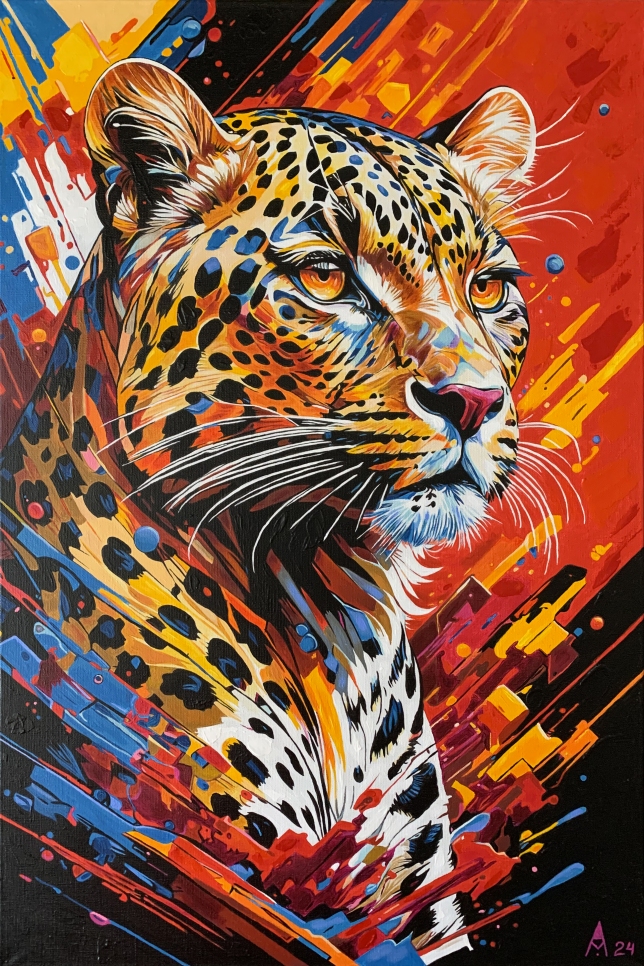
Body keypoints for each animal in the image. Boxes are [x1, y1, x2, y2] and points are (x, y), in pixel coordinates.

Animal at [0, 59, 535, 962]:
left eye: (489, 288)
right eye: (325, 276)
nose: (473, 400)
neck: (328, 597)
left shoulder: (412, 885)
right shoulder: (231, 860)